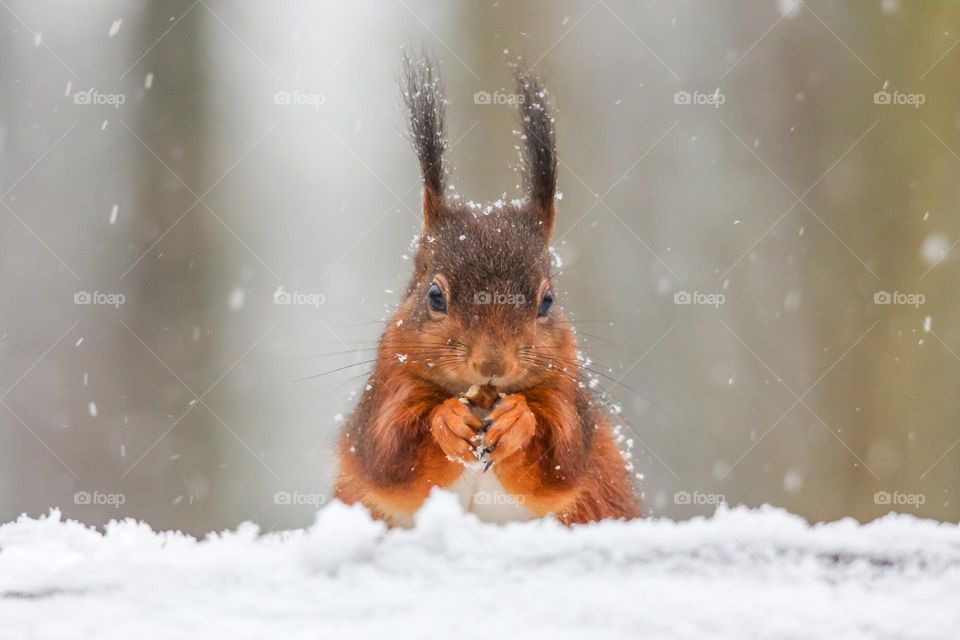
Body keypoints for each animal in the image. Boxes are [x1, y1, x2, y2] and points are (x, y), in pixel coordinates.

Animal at [334, 53, 640, 524]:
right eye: (435, 296)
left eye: (547, 301)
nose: (492, 363)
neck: (481, 399)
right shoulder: (387, 390)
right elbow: (392, 459)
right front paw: (446, 420)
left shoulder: (568, 401)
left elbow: (558, 463)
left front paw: (518, 420)